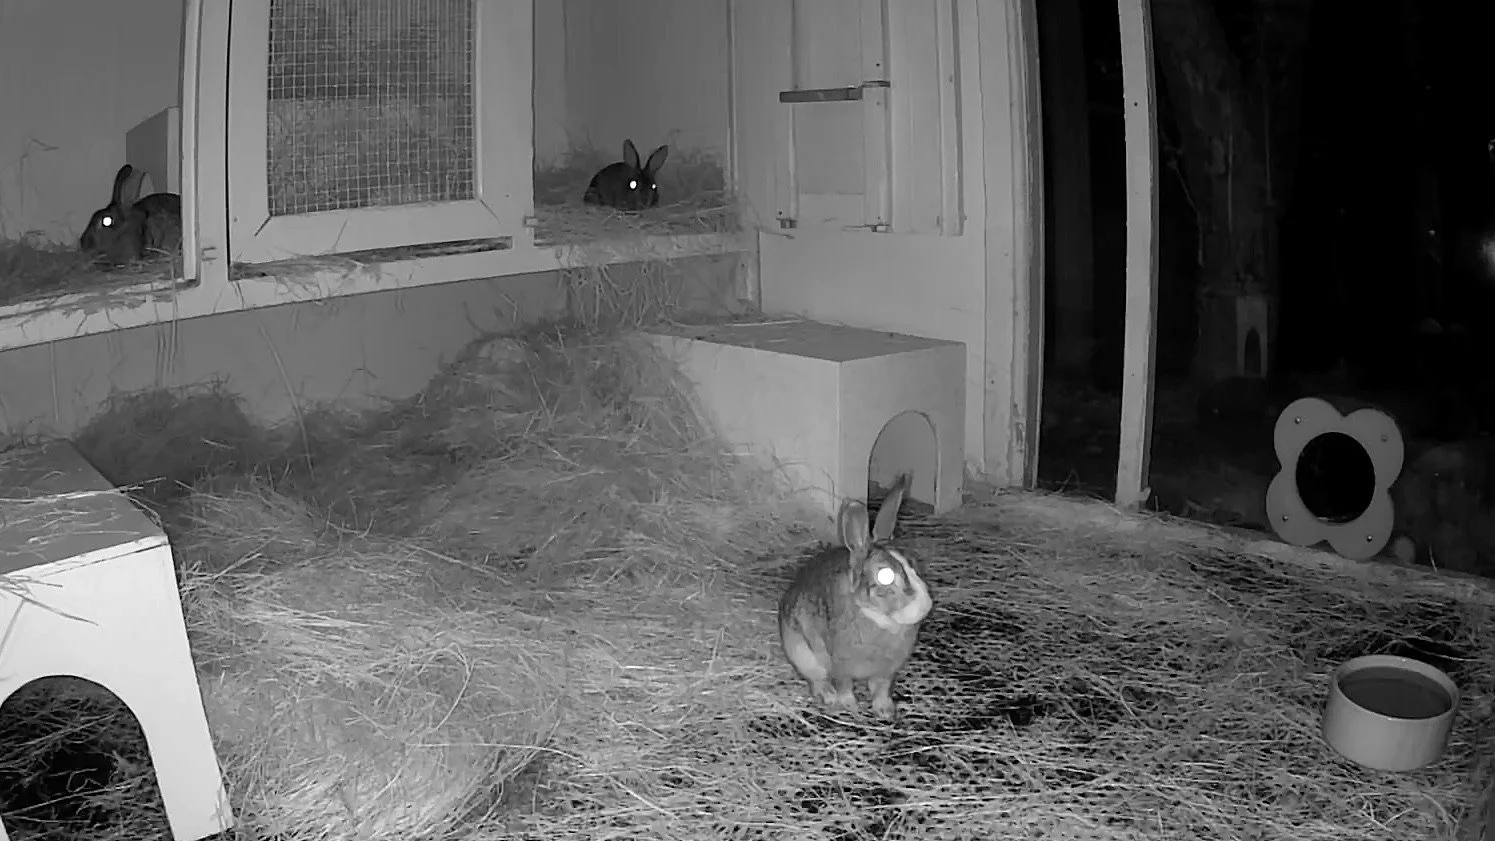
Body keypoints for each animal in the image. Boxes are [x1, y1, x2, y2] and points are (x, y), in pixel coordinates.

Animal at [777, 473, 933, 721]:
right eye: (886, 576)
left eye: (914, 564)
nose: (925, 605)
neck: (878, 618)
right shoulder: (841, 666)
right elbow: (844, 685)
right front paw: (850, 706)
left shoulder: (886, 671)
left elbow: (881, 689)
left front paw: (885, 710)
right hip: (802, 653)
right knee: (817, 679)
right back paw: (828, 695)